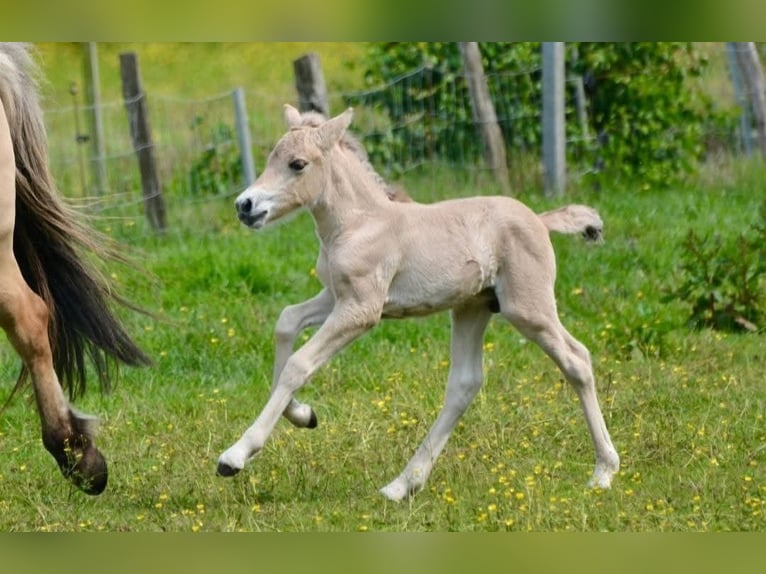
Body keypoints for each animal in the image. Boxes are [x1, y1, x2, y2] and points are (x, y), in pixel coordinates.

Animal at [218, 104, 620, 501]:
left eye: (297, 164)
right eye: (271, 158)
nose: (245, 205)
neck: (359, 223)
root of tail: (538, 218)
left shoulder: (361, 309)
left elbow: (299, 363)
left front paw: (235, 456)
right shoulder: (333, 296)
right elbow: (286, 322)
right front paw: (303, 415)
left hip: (528, 309)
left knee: (576, 360)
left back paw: (603, 472)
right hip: (472, 307)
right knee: (464, 383)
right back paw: (402, 485)